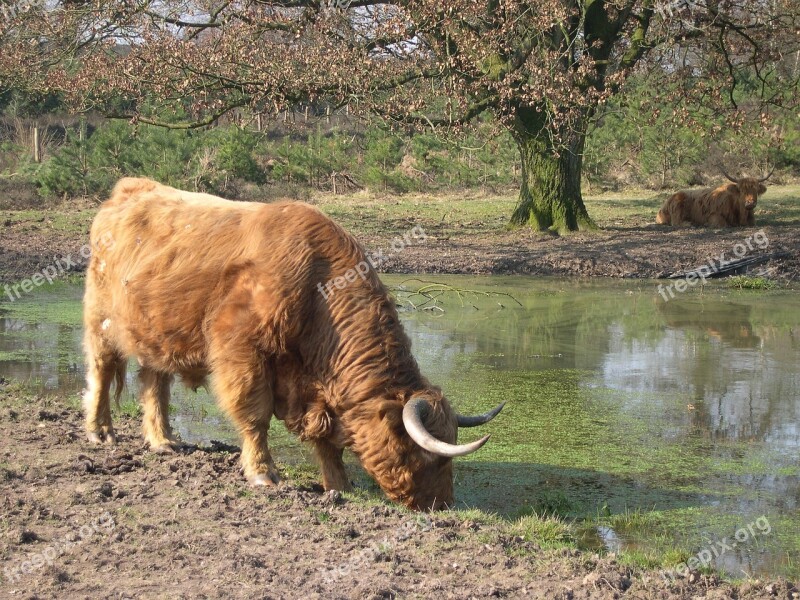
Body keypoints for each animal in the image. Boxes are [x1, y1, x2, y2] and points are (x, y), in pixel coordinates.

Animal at [83, 176, 506, 508]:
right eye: (433, 458)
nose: (442, 504)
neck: (317, 288)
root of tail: (130, 189)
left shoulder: (315, 388)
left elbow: (327, 439)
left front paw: (339, 485)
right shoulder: (242, 351)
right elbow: (254, 415)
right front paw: (263, 473)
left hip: (156, 331)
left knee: (154, 382)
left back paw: (164, 440)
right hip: (101, 320)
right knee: (102, 371)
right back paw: (100, 431)